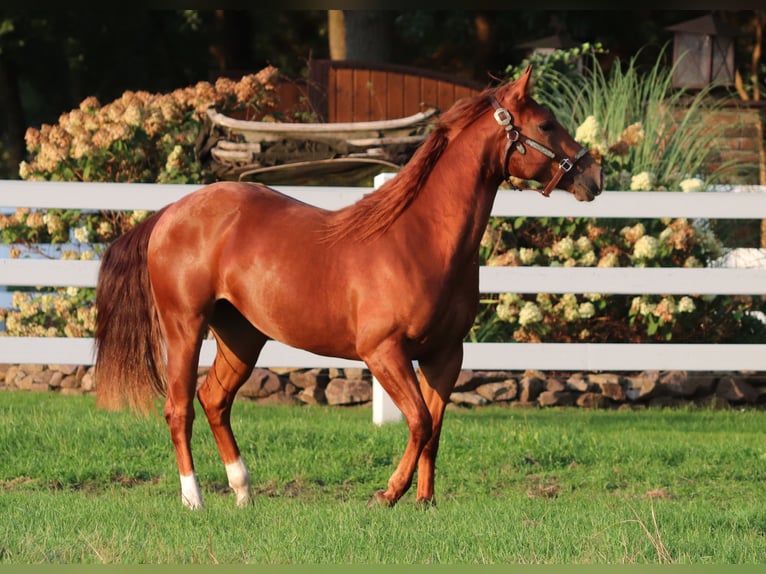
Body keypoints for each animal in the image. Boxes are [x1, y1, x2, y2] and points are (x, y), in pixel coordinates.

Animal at [94, 67, 603, 510]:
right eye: (546, 123)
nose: (594, 176)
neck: (420, 240)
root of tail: (169, 213)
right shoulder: (383, 352)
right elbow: (419, 421)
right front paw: (387, 494)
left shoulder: (445, 354)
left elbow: (435, 428)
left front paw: (425, 502)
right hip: (184, 327)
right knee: (179, 408)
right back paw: (193, 499)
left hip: (242, 335)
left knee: (215, 401)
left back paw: (243, 494)